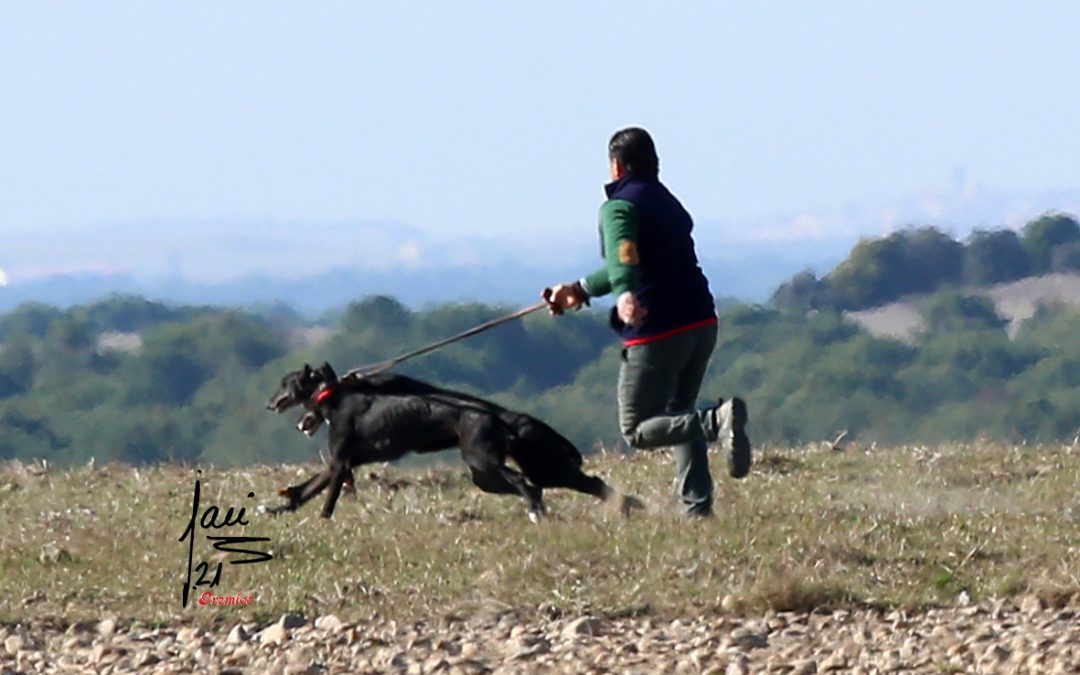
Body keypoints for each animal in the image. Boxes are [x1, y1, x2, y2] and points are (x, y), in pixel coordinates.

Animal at [267, 360, 639, 518]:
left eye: (285, 383)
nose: (269, 404)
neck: (334, 395)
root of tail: (499, 415)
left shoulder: (342, 463)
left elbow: (325, 499)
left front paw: (322, 520)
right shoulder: (339, 464)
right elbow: (306, 490)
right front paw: (280, 508)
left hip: (483, 463)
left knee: (529, 486)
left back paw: (538, 513)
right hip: (506, 471)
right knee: (584, 482)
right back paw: (629, 506)